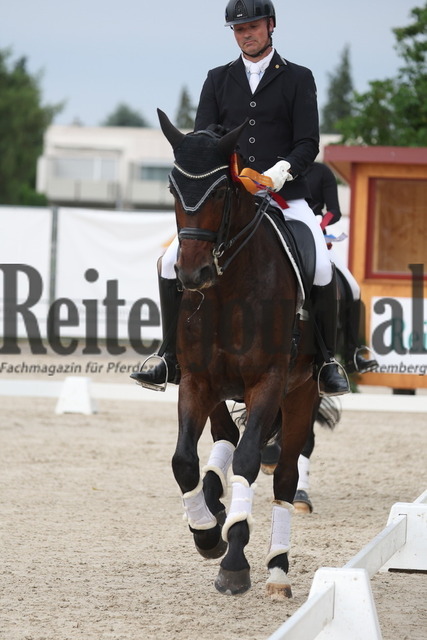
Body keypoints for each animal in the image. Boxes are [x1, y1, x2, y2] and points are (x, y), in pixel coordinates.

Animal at [157, 109, 320, 598]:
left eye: (221, 190)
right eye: (173, 188)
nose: (192, 274)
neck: (228, 289)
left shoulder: (268, 382)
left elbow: (249, 462)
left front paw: (234, 560)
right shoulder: (197, 381)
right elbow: (184, 460)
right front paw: (207, 533)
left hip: (301, 392)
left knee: (284, 475)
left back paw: (278, 567)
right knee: (226, 435)